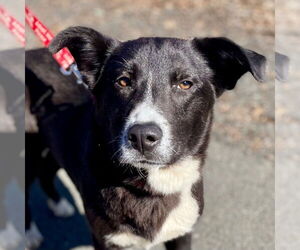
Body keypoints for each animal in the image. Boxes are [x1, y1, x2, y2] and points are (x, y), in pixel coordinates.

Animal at [27, 26, 266, 249]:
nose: (141, 136)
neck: (153, 186)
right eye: (123, 81)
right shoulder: (106, 239)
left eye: (185, 84)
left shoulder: (182, 233)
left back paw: (59, 205)